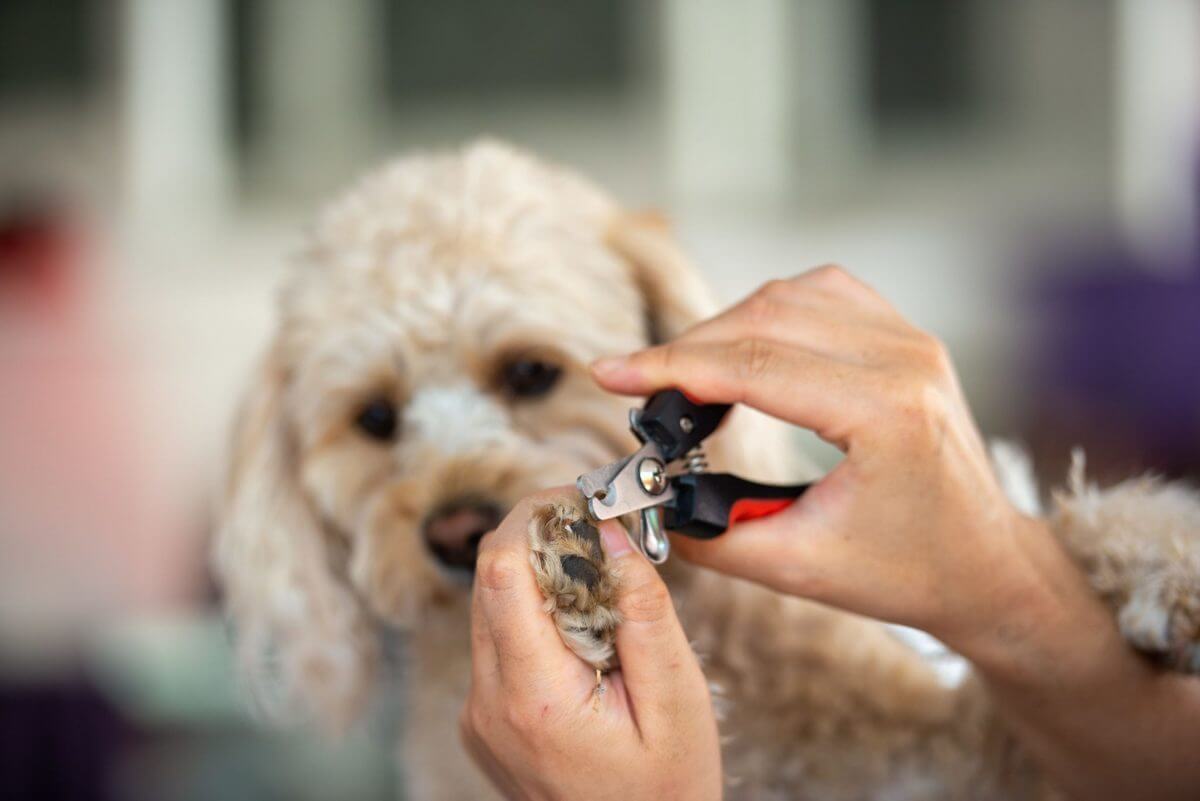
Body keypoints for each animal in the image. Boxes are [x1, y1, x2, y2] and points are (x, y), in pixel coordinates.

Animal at [216, 140, 1200, 796]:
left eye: (529, 371)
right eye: (375, 419)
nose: (458, 530)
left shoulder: (980, 754)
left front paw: (1165, 564)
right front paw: (579, 599)